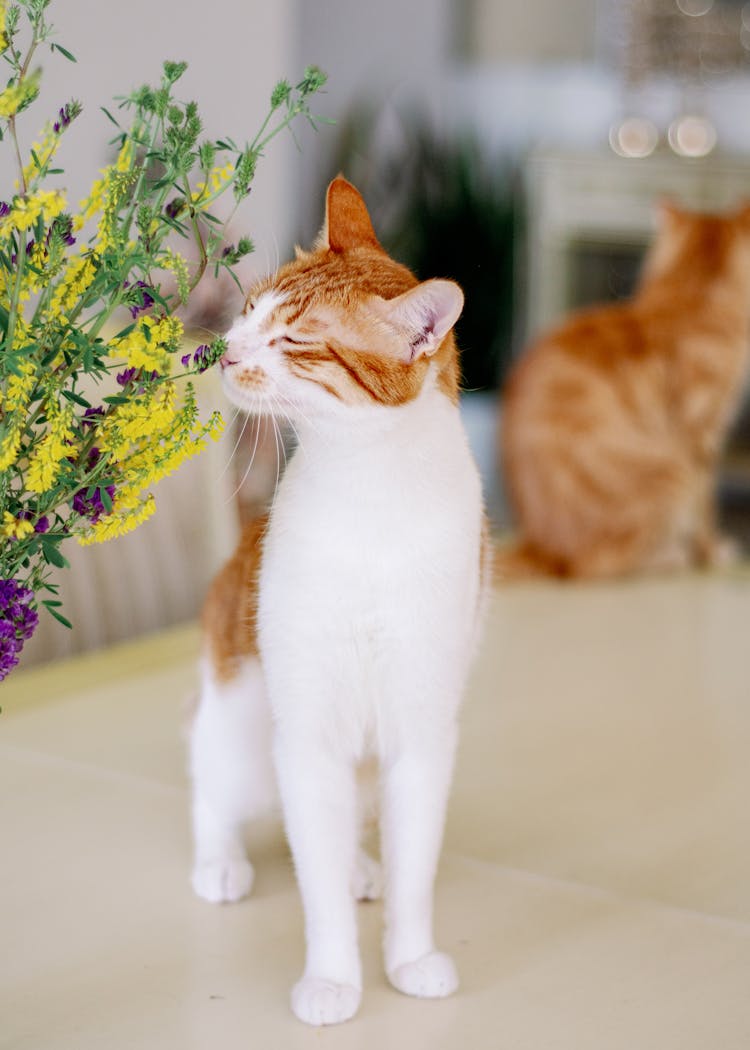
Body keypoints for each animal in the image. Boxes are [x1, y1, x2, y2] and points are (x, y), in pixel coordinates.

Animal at [190, 178, 487, 1024]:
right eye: (249, 309)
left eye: (294, 339)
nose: (226, 350)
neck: (370, 494)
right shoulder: (307, 735)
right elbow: (314, 888)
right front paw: (332, 979)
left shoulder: (422, 734)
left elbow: (414, 870)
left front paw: (410, 957)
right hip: (241, 727)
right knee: (212, 786)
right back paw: (220, 859)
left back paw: (359, 863)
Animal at [495, 200, 747, 579]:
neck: (696, 296)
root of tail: (541, 548)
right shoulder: (700, 435)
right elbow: (706, 511)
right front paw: (711, 551)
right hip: (674, 472)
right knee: (601, 564)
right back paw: (672, 557)